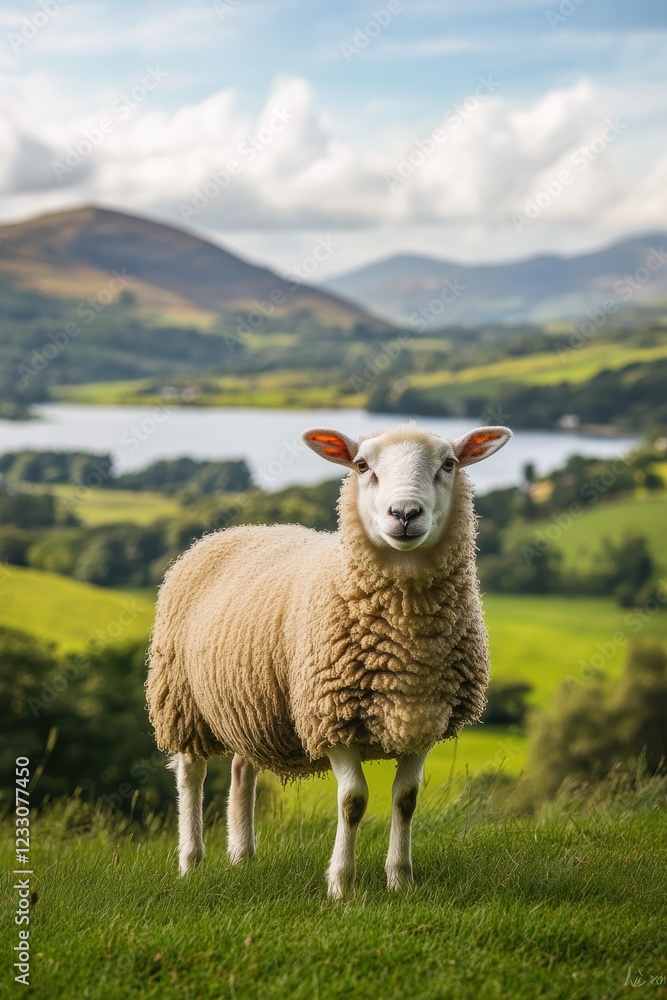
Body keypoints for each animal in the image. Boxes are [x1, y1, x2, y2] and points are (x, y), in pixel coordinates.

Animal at [146, 422, 512, 895]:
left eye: (449, 464)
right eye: (362, 466)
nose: (405, 513)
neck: (406, 640)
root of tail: (231, 531)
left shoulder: (424, 720)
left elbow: (406, 800)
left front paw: (400, 880)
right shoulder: (331, 716)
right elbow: (353, 801)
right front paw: (342, 884)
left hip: (254, 704)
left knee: (243, 768)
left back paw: (243, 857)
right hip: (182, 699)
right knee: (191, 773)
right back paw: (191, 862)